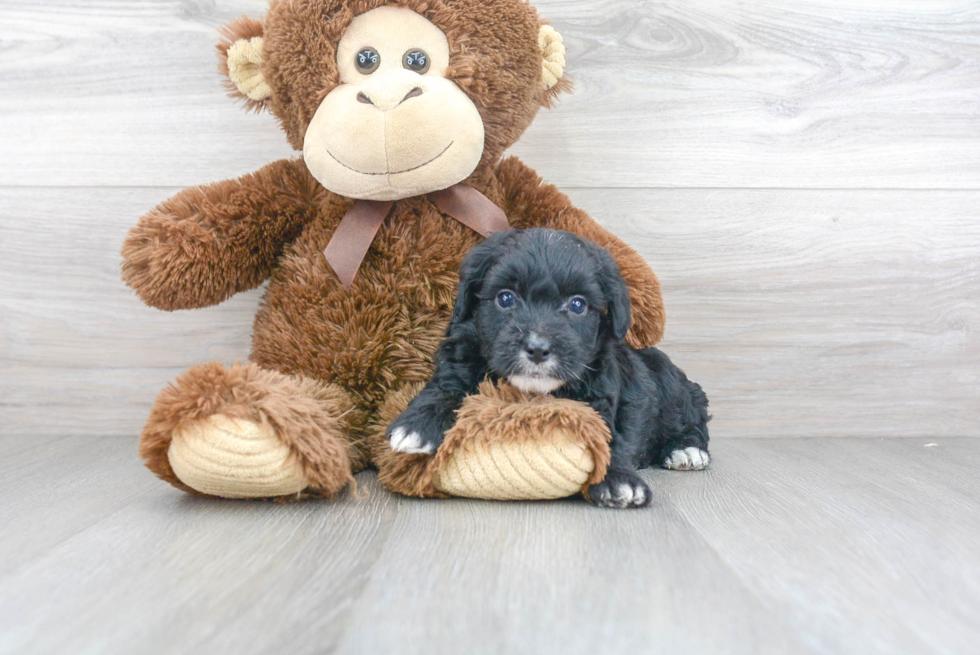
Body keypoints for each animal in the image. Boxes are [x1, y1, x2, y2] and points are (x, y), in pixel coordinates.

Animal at [384, 228, 712, 510]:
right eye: (505, 298)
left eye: (578, 305)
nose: (538, 348)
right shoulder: (461, 357)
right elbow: (446, 389)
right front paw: (418, 423)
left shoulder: (598, 400)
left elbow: (604, 436)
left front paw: (618, 478)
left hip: (671, 386)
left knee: (692, 417)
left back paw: (686, 450)